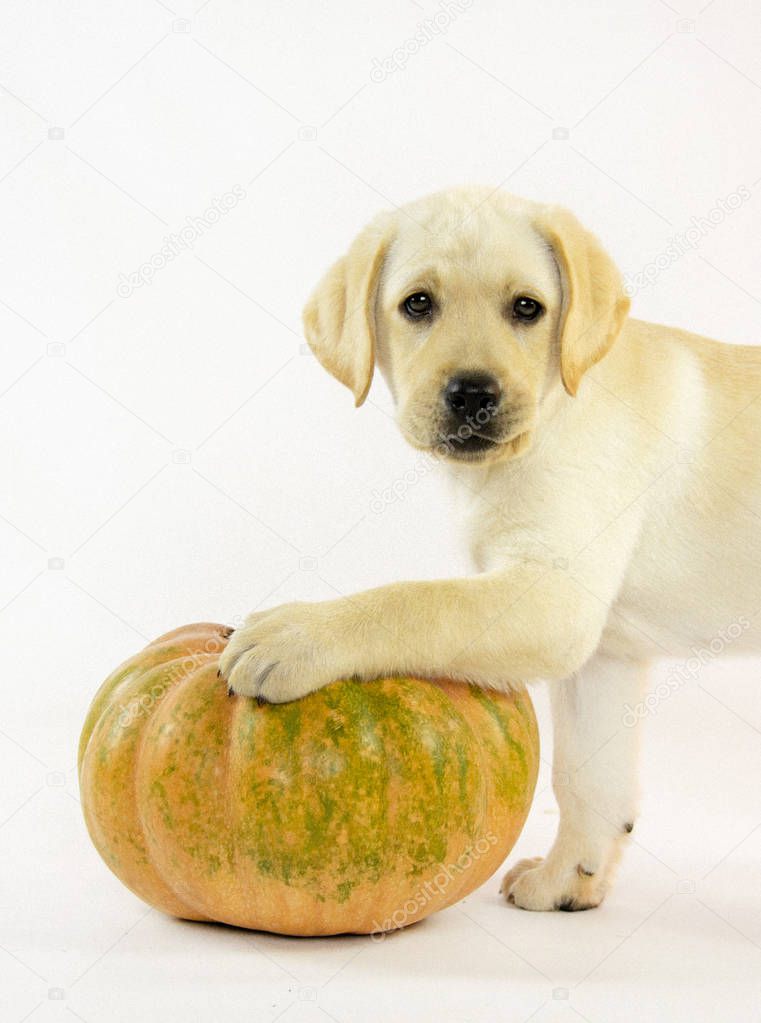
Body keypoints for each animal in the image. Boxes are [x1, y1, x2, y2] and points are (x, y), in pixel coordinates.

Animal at [221, 186, 761, 912]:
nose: (473, 393)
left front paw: (299, 632)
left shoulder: (550, 600)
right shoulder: (604, 654)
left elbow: (416, 599)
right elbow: (588, 779)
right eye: (417, 303)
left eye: (527, 308)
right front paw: (569, 878)